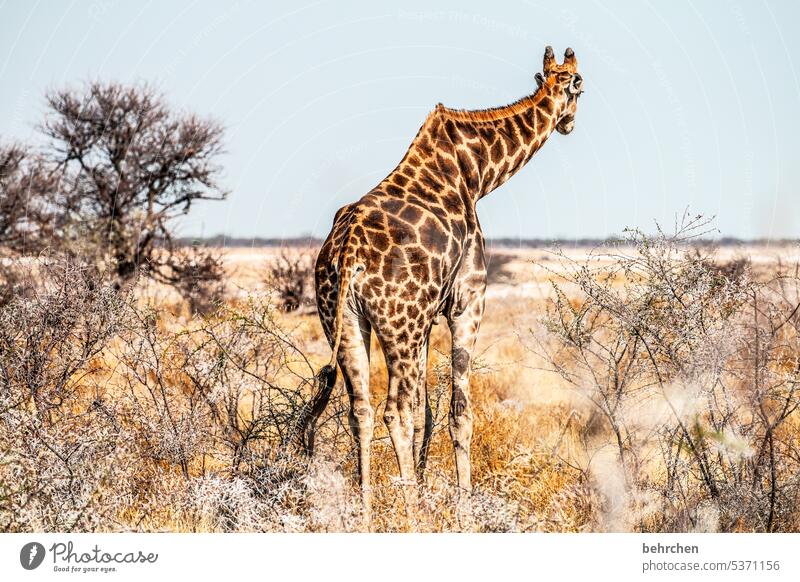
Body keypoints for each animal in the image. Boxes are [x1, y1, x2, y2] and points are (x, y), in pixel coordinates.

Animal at [300, 45, 580, 524]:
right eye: (580, 86)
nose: (568, 122)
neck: (477, 174)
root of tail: (347, 251)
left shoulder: (428, 319)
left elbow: (426, 412)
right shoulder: (467, 301)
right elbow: (459, 413)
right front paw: (465, 512)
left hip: (349, 320)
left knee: (363, 409)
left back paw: (367, 513)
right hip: (399, 325)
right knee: (394, 411)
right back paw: (410, 512)